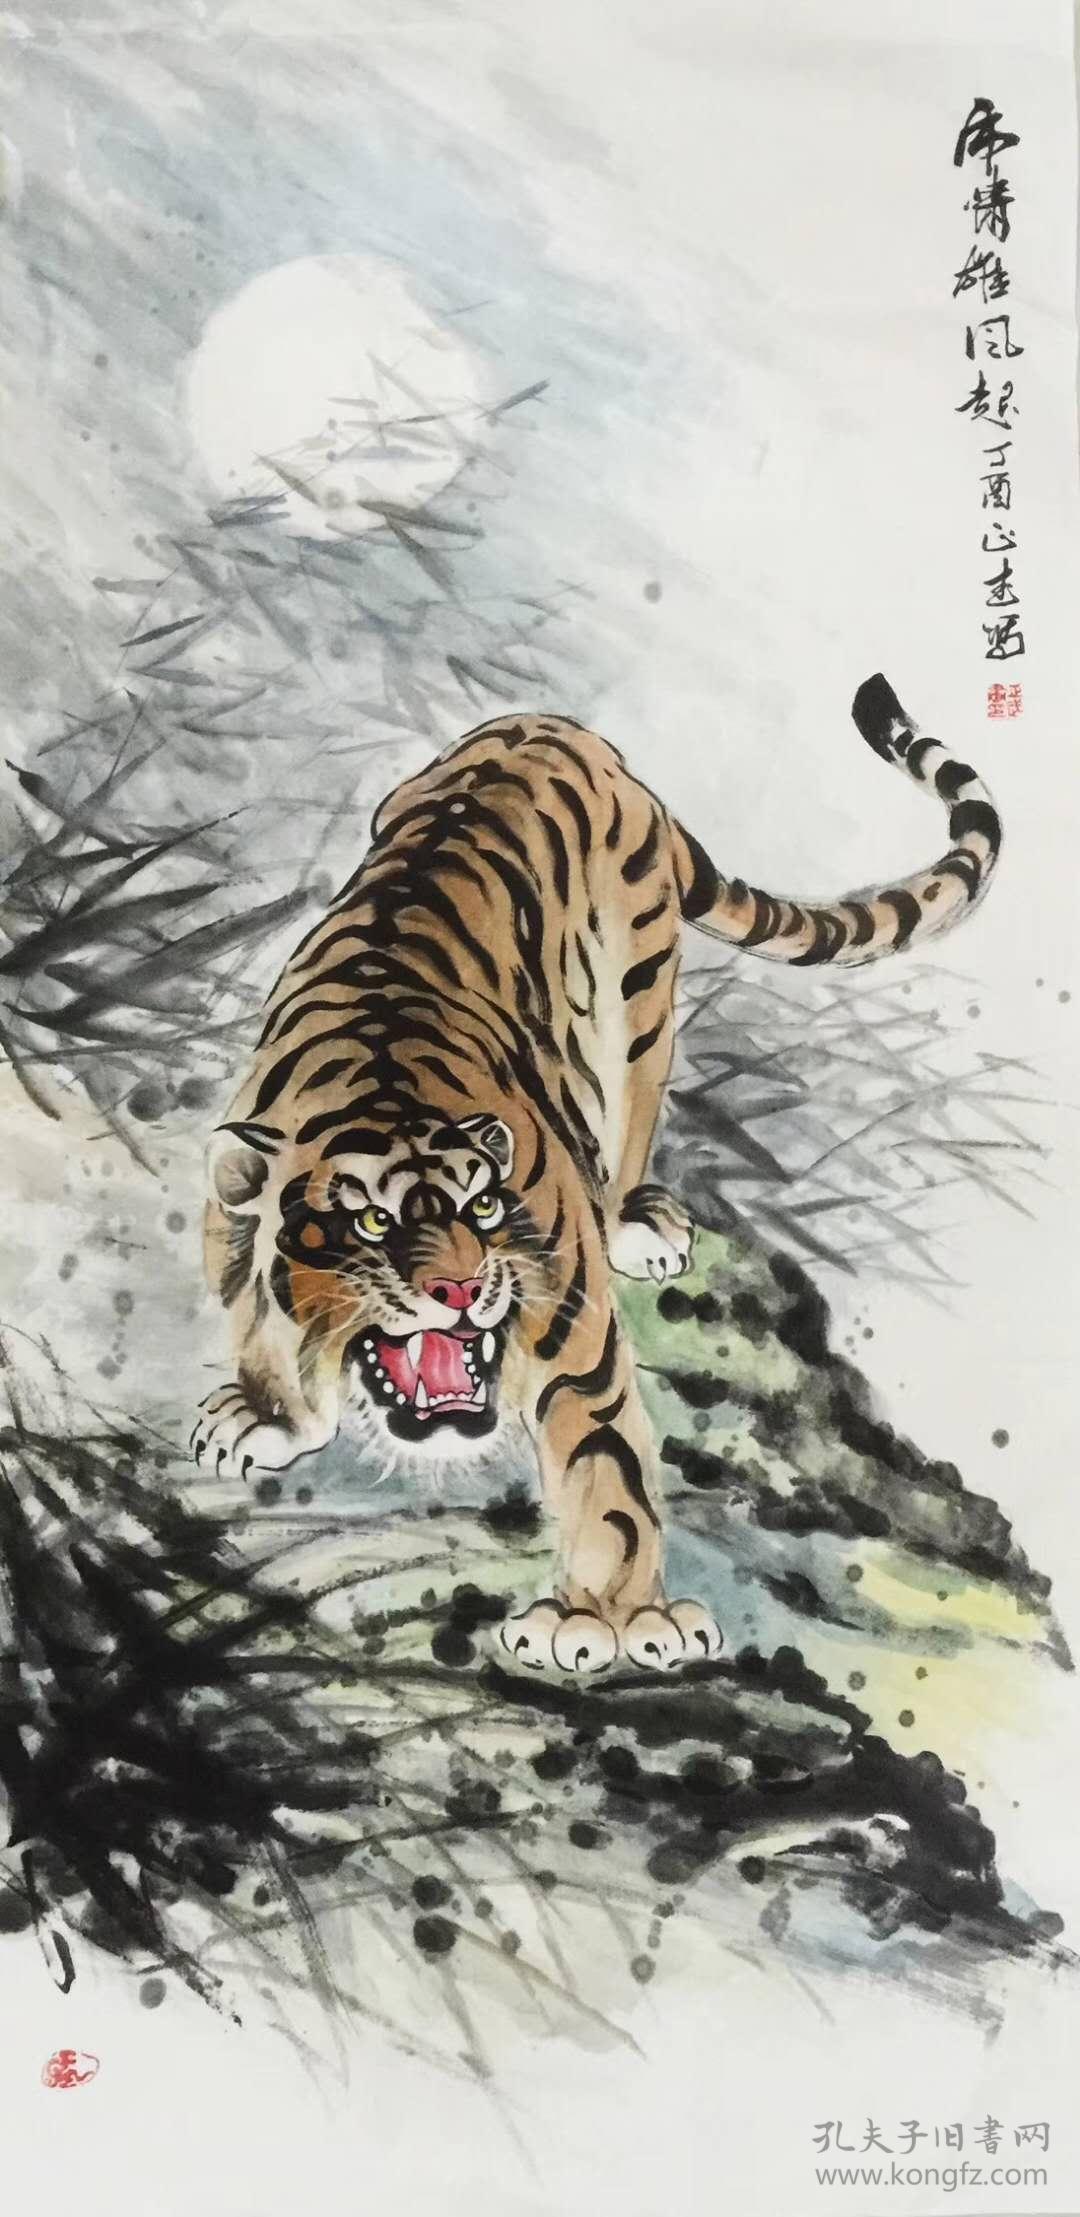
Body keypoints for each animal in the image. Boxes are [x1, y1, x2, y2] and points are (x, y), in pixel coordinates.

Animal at [193, 671, 1001, 1675]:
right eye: (374, 1224)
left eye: (483, 1207)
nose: (462, 1289)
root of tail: (563, 730)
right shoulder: (232, 1229)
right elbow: (260, 1329)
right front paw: (266, 1416)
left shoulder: (567, 1315)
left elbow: (605, 1463)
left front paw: (610, 1618)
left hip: (636, 1010)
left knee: (627, 1123)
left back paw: (640, 1227)